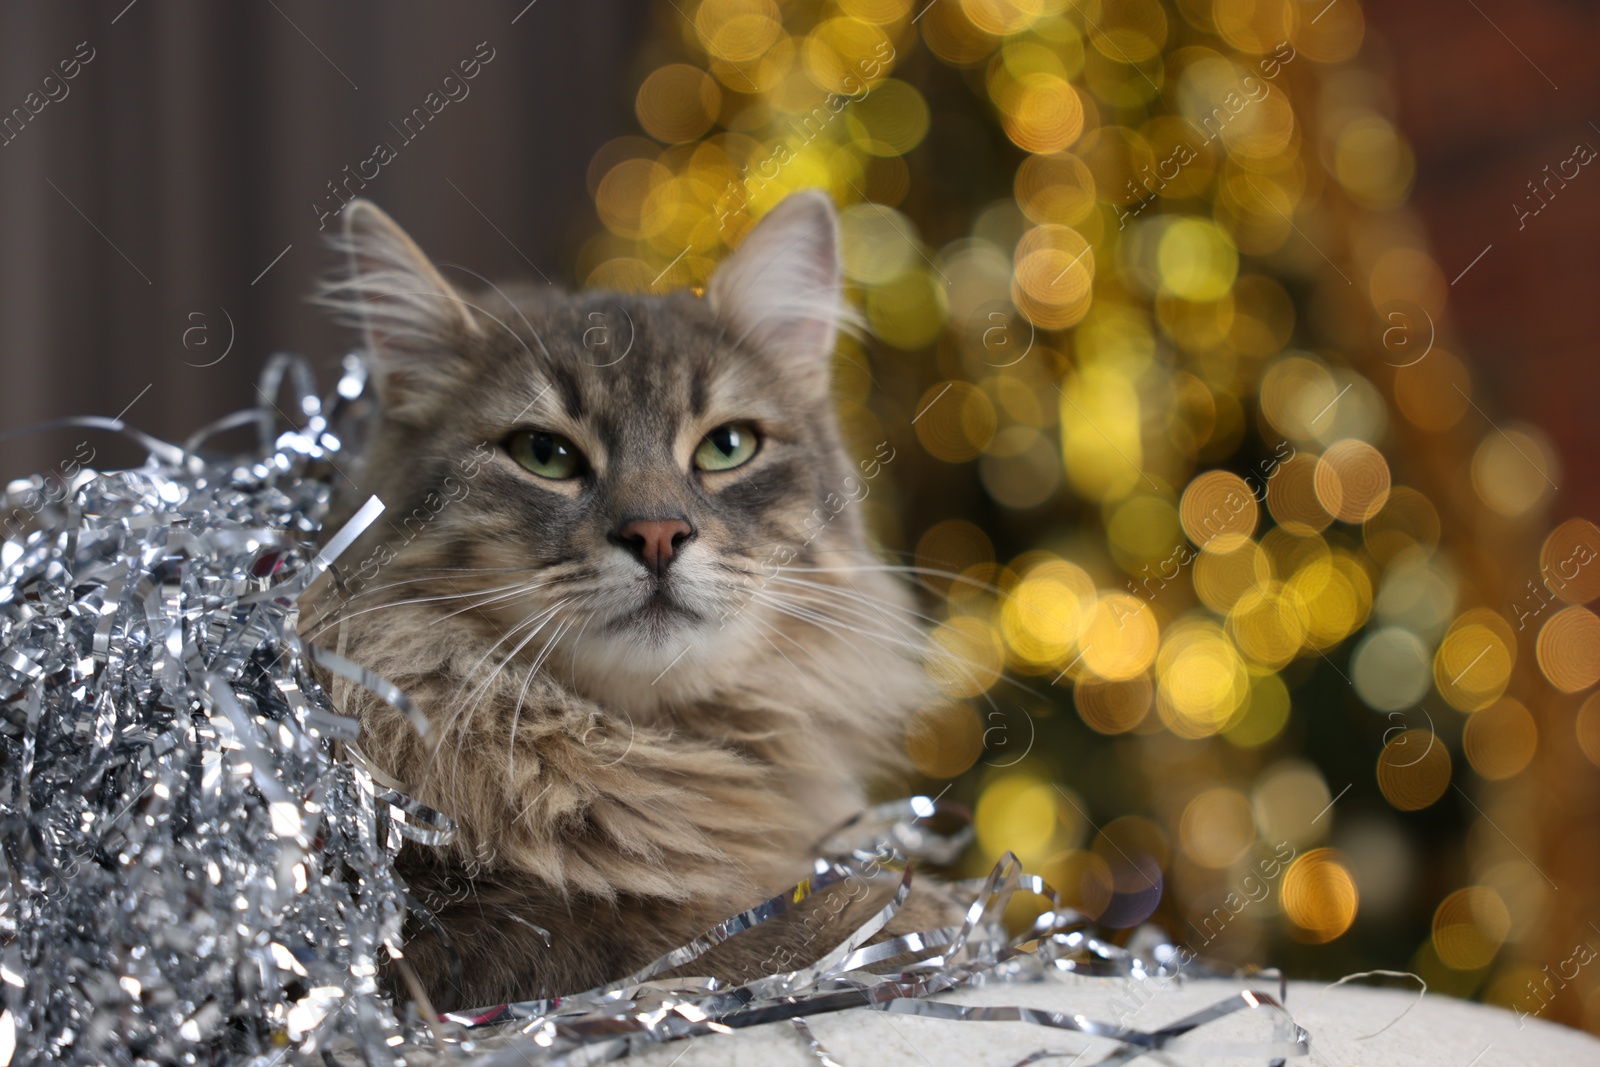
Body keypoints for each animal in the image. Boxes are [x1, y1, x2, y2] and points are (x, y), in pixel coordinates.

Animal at [307, 194, 953, 1017]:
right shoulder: (430, 934)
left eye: (728, 447)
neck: (635, 745)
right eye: (544, 455)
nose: (656, 533)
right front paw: (902, 910)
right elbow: (690, 929)